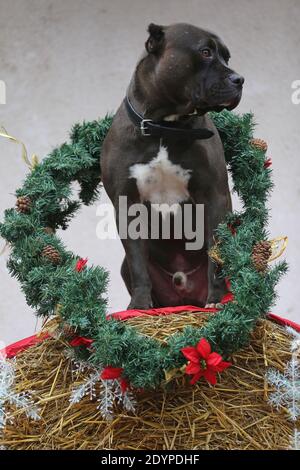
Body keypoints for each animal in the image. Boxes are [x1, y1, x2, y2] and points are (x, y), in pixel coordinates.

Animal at [101, 22, 244, 310]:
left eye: (227, 57)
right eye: (205, 52)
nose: (239, 79)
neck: (164, 127)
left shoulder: (215, 196)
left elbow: (216, 253)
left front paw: (216, 298)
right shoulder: (127, 203)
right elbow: (137, 262)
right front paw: (139, 307)